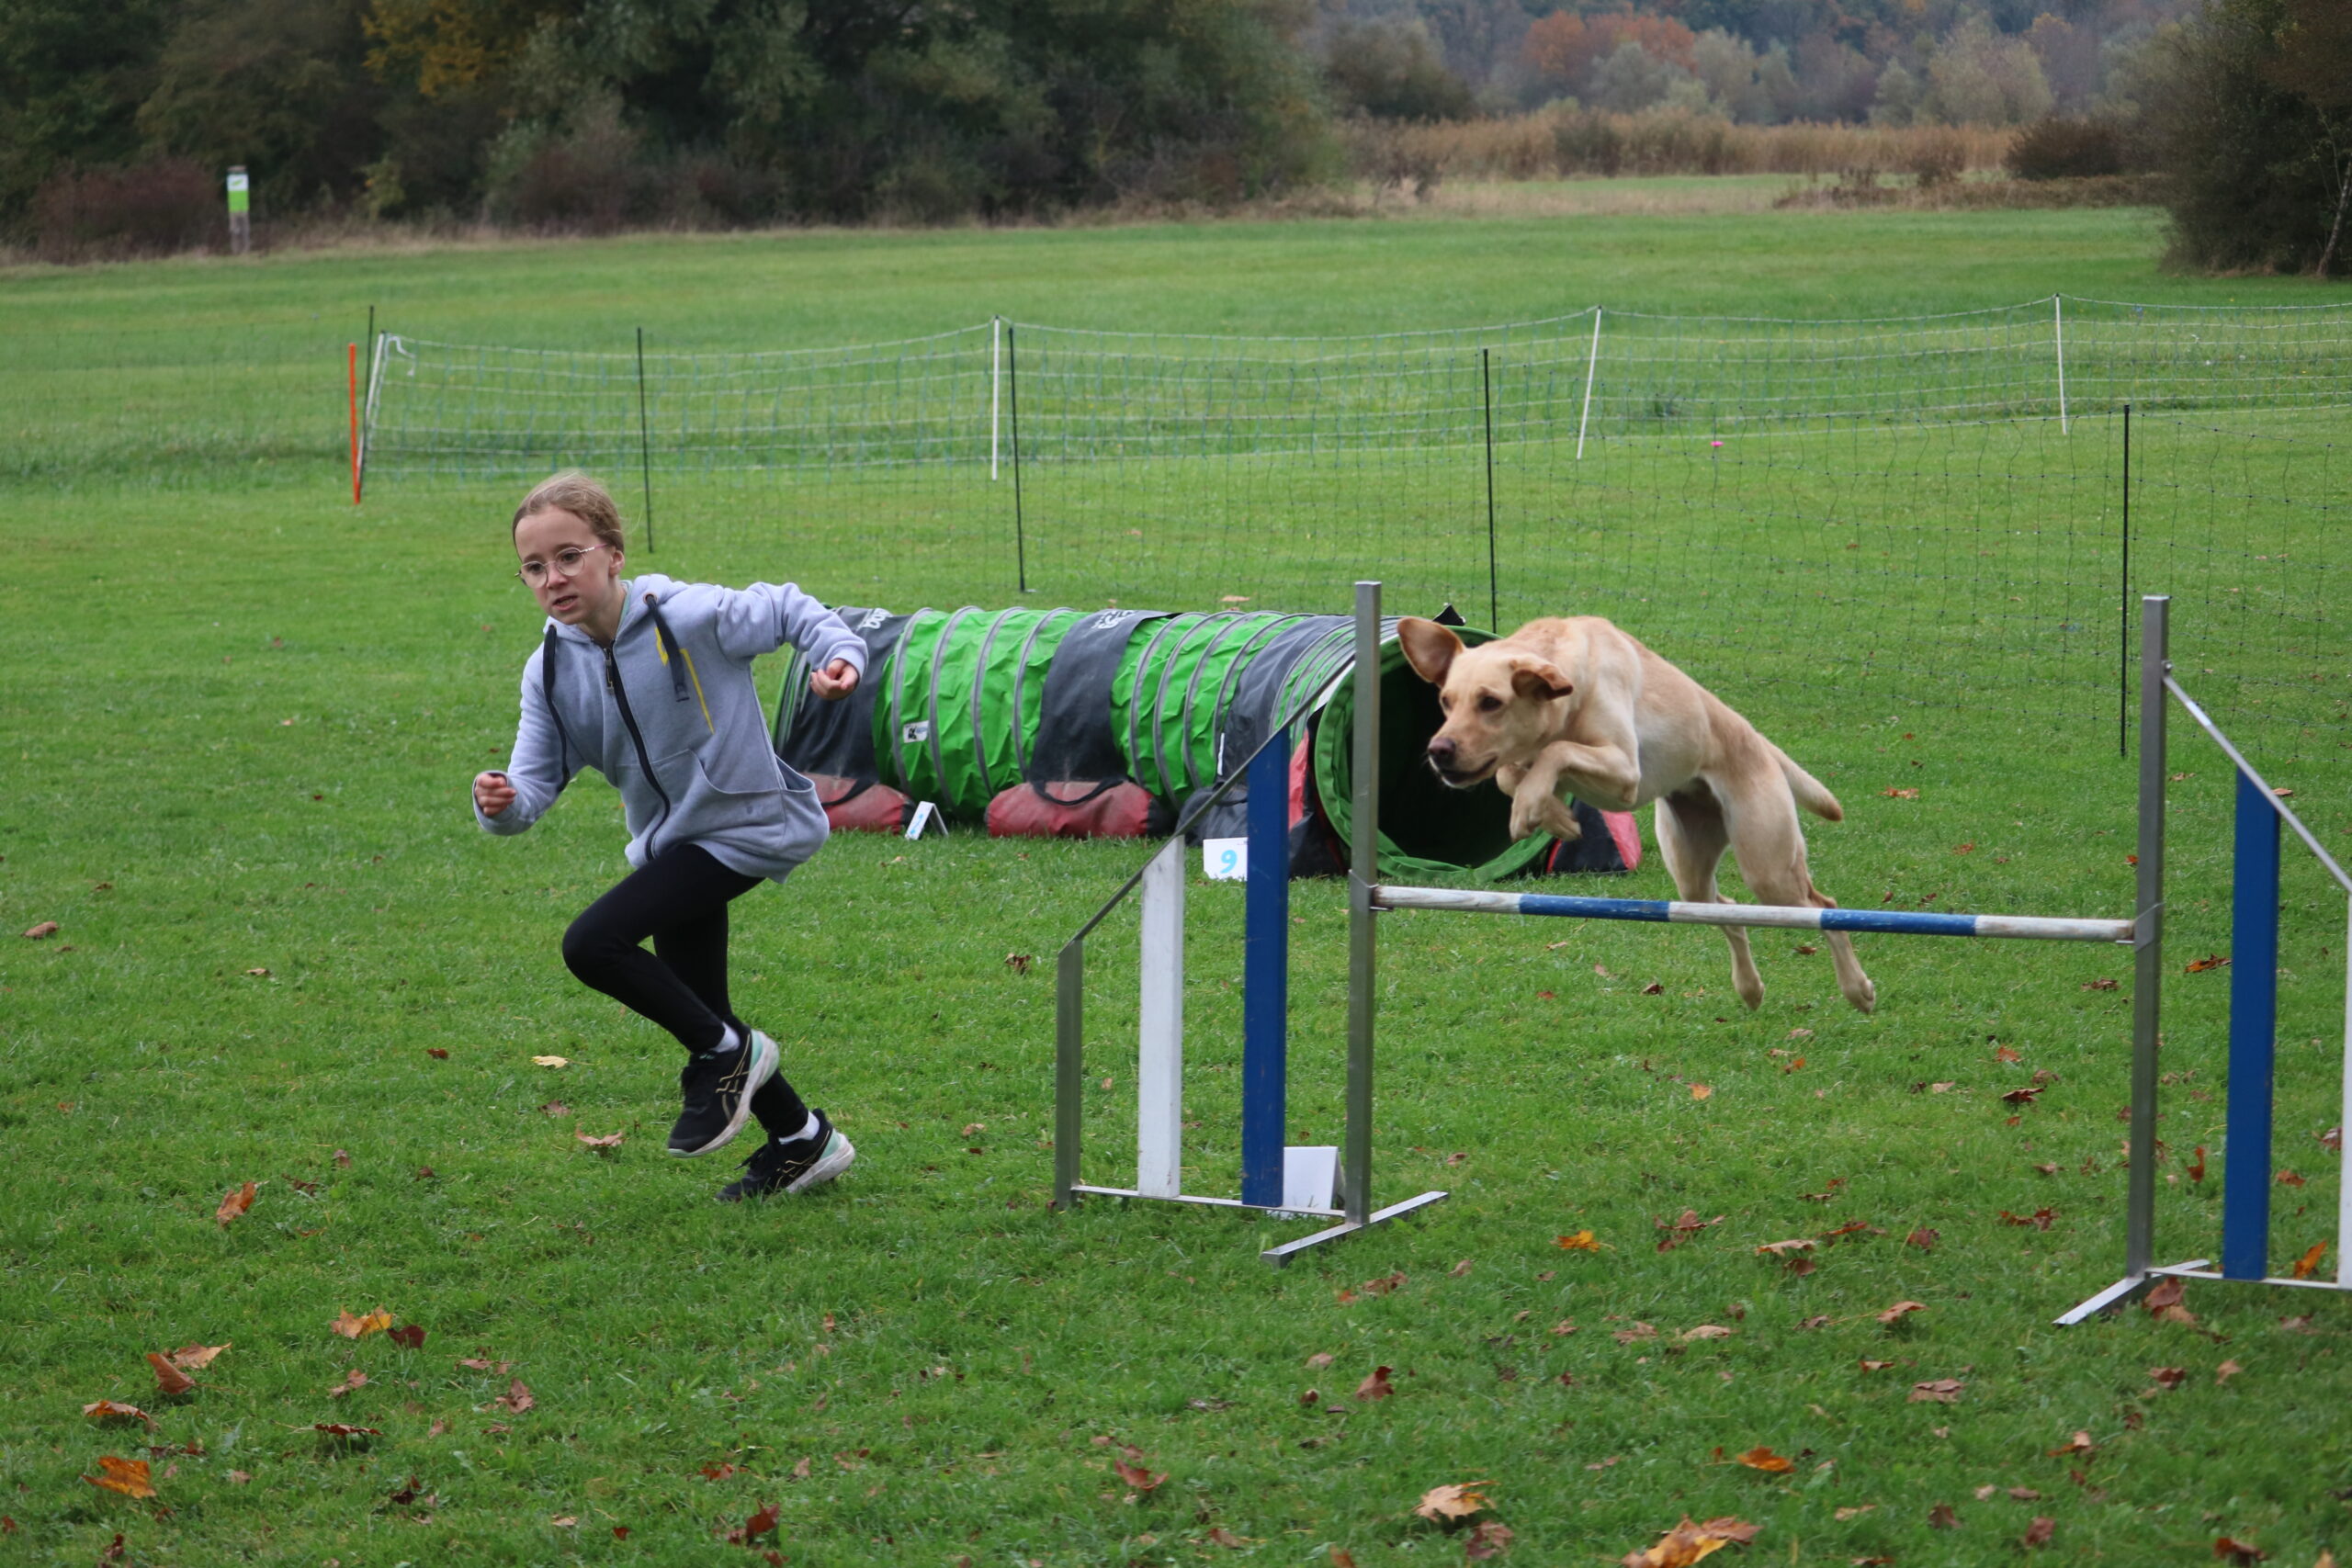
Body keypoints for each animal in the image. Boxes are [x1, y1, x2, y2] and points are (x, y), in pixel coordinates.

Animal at [1392, 615, 1871, 1020]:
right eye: (1446, 701)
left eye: (1491, 702)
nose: (1438, 751)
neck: (1570, 690)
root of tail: (1760, 742)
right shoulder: (1532, 760)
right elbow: (1513, 774)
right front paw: (1554, 816)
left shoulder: (1624, 770)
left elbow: (1556, 751)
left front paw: (1537, 810)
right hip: (1691, 869)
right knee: (1730, 911)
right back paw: (1750, 989)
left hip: (1767, 865)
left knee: (1825, 910)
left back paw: (1858, 990)